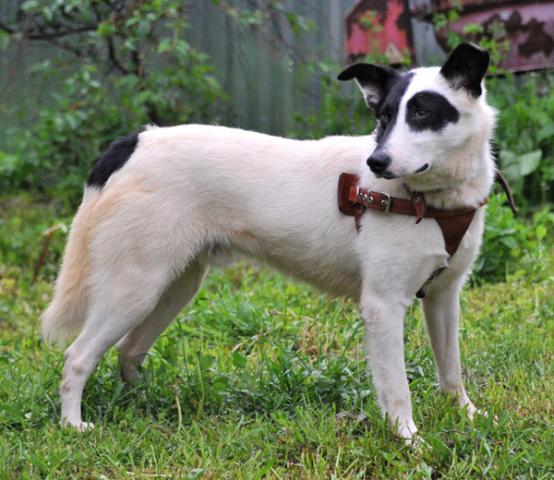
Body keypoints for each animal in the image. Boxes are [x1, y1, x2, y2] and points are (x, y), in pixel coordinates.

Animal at [42, 43, 496, 443]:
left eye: (421, 112)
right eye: (383, 117)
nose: (376, 162)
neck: (428, 199)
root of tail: (134, 142)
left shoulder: (443, 297)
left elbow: (451, 371)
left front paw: (468, 415)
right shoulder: (383, 307)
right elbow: (397, 389)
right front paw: (409, 439)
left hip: (173, 288)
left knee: (129, 350)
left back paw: (146, 403)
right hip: (135, 289)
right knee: (77, 357)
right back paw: (72, 425)